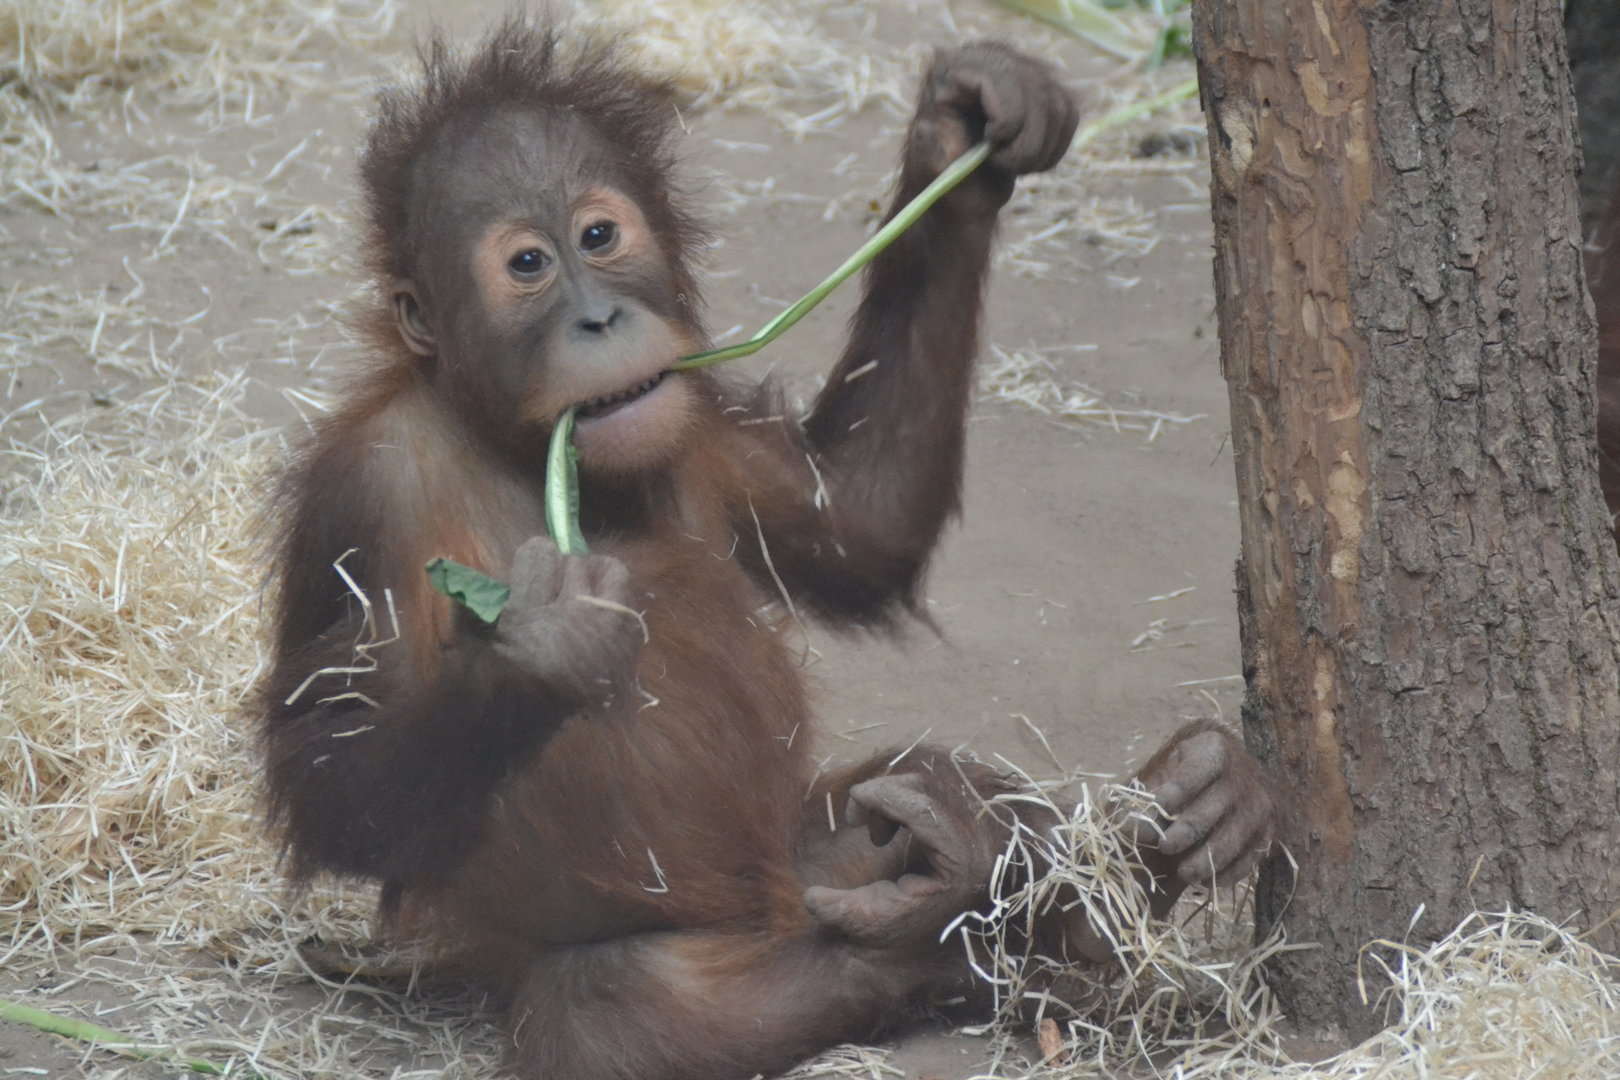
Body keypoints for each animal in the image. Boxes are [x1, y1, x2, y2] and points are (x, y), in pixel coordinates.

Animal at [257, 21, 1276, 1080]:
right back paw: (946, 911)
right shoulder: (367, 489)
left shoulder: (699, 410)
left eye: (599, 237)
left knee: (907, 783)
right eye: (527, 264)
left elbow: (858, 522)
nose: (598, 317)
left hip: (796, 846)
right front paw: (546, 645)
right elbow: (322, 766)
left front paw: (966, 128)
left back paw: (1155, 825)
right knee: (619, 1004)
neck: (525, 449)